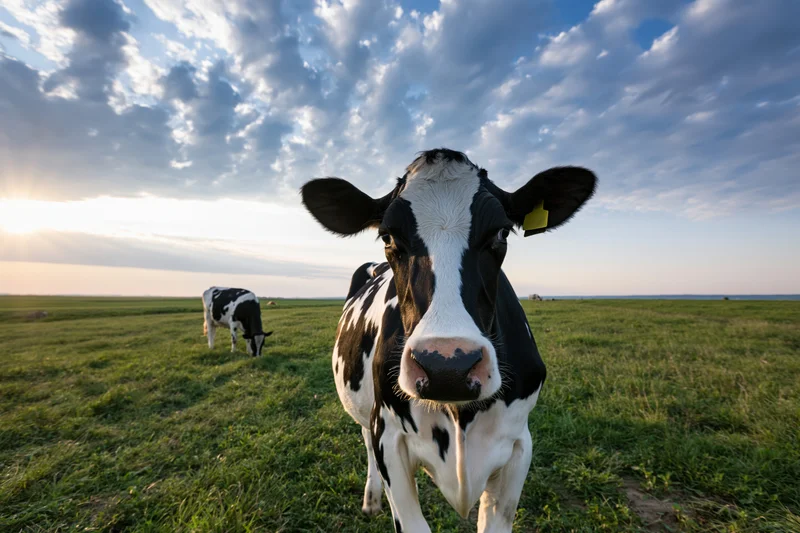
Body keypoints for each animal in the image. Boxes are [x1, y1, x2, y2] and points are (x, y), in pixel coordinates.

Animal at [301, 149, 596, 532]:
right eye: (387, 237)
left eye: (501, 232)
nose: (447, 366)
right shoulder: (389, 437)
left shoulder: (519, 445)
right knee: (364, 438)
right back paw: (371, 499)